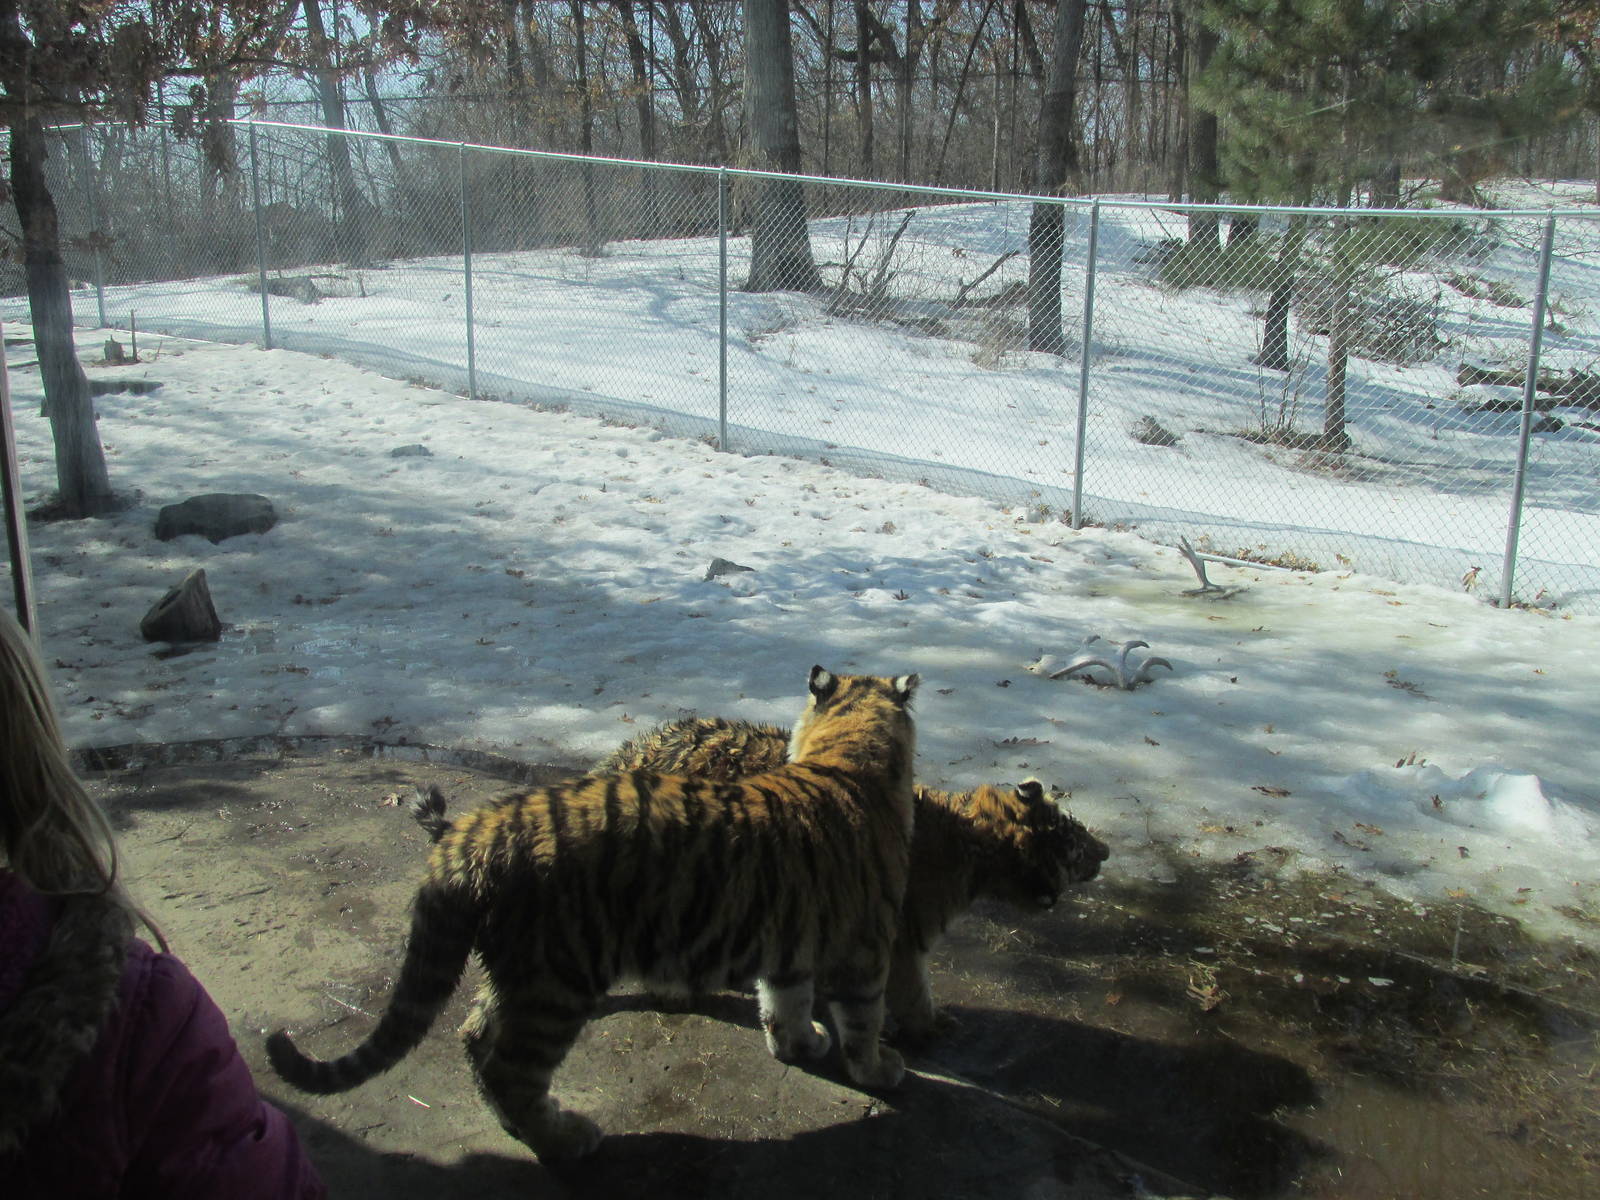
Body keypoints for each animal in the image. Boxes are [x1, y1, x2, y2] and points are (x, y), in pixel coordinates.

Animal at [266, 666, 919, 1162]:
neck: (847, 753)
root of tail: (476, 832)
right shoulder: (864, 947)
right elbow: (862, 1016)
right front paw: (879, 1068)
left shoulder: (790, 938)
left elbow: (785, 1000)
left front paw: (798, 1045)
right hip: (558, 979)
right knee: (512, 1069)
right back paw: (566, 1138)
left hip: (519, 969)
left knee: (475, 1034)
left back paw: (521, 1121)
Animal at [595, 715, 1110, 1041]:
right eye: (1073, 840)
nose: (1106, 851)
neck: (969, 842)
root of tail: (621, 759)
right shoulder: (903, 937)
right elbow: (912, 992)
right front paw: (931, 1028)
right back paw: (676, 992)